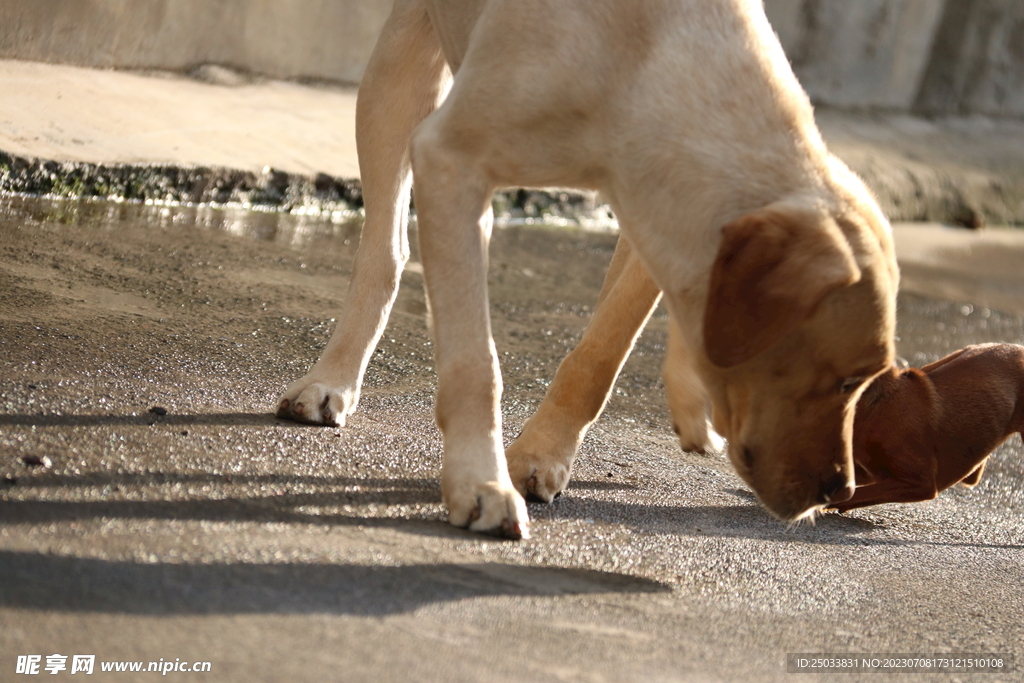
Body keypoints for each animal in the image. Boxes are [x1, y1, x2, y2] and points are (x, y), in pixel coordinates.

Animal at [278, 0, 897, 540]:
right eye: (846, 380)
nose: (840, 492)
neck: (647, 59)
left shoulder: (659, 223)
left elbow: (601, 354)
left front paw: (541, 454)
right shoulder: (452, 160)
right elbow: (476, 363)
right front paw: (480, 483)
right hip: (399, 72)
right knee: (387, 246)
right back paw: (332, 377)